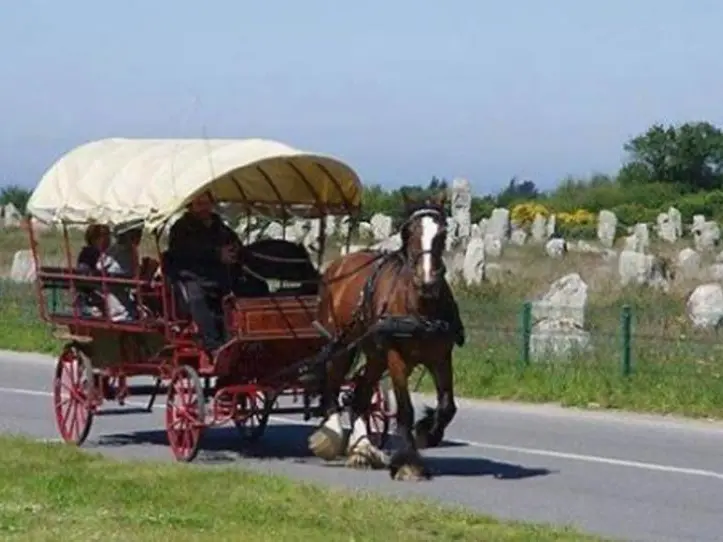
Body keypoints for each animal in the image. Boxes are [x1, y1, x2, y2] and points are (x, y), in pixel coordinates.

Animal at [308, 191, 460, 484]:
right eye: (408, 232)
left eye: (443, 233)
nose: (427, 281)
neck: (421, 308)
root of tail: (338, 265)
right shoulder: (396, 358)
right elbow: (405, 410)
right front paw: (409, 463)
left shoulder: (441, 357)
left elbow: (447, 406)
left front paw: (427, 432)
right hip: (342, 346)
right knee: (332, 390)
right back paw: (331, 436)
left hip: (375, 355)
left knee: (359, 396)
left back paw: (363, 450)